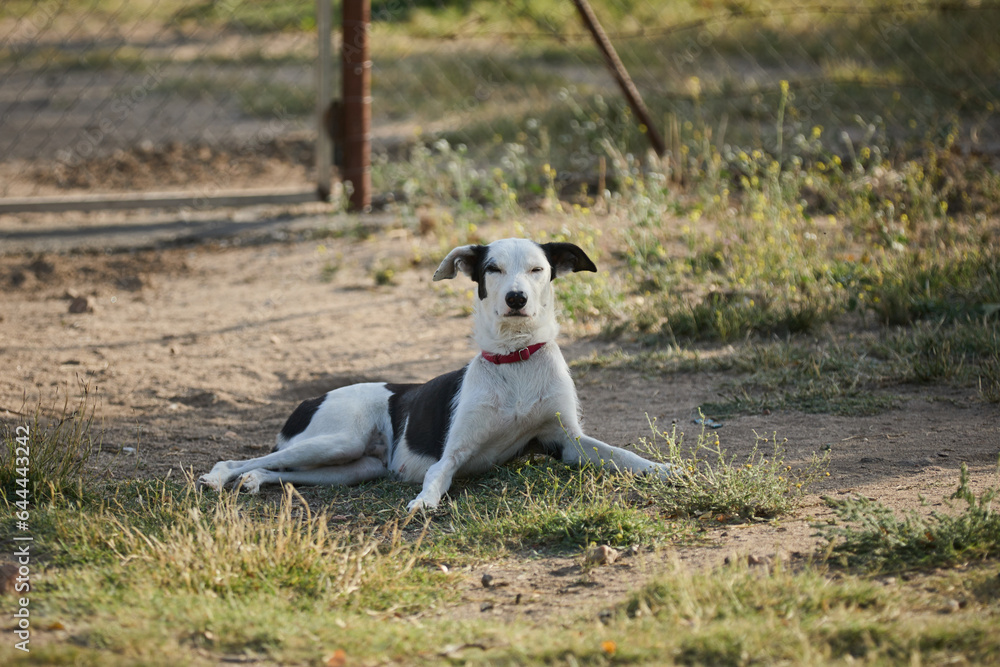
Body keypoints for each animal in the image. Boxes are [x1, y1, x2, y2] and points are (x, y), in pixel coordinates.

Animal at [197, 237, 672, 508]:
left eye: (538, 270)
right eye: (492, 269)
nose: (516, 298)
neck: (515, 362)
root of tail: (310, 398)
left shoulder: (567, 441)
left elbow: (624, 455)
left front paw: (665, 469)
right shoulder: (454, 452)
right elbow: (437, 475)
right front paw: (424, 501)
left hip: (353, 467)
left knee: (279, 469)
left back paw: (255, 481)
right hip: (337, 440)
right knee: (240, 458)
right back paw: (220, 476)